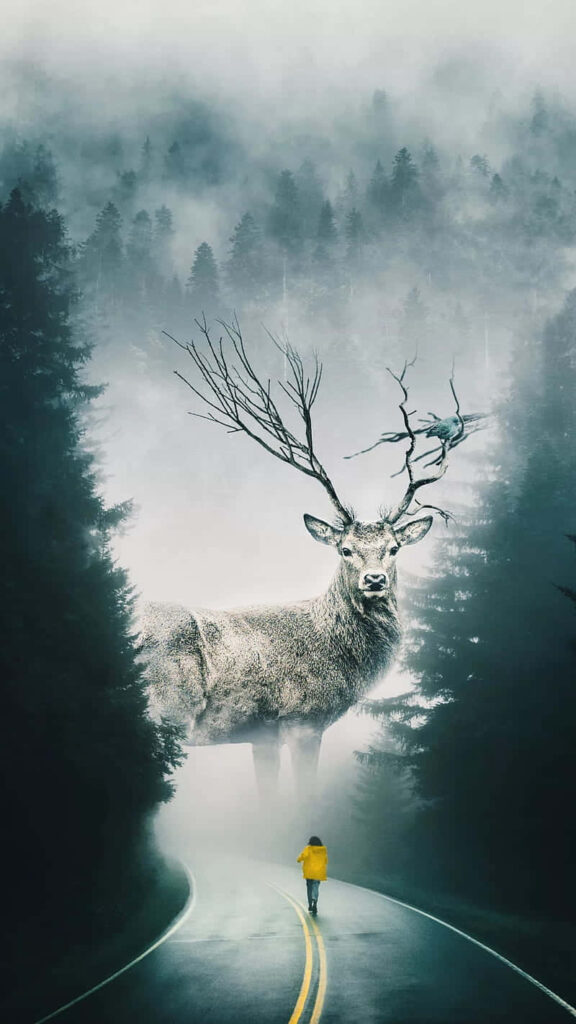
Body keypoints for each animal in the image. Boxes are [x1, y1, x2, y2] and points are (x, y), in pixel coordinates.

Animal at [142, 320, 468, 802]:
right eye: (345, 549)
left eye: (394, 548)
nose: (374, 580)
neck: (339, 657)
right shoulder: (303, 718)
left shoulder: (262, 735)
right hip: (166, 706)